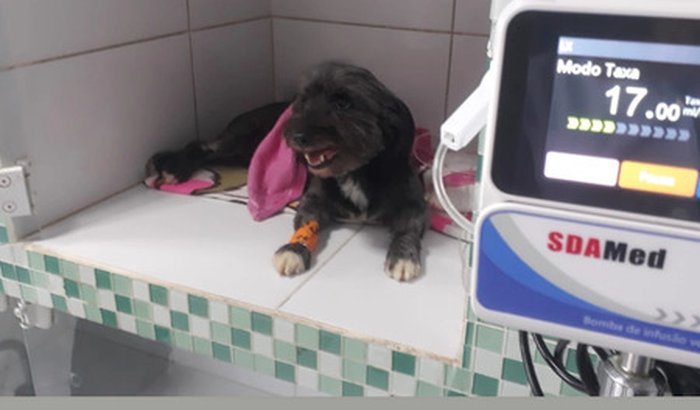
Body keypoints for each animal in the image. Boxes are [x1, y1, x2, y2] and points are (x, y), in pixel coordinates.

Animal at [148, 62, 426, 282]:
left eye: (343, 103)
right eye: (303, 100)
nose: (295, 136)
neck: (355, 171)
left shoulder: (413, 205)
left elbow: (408, 230)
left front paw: (403, 256)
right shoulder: (313, 200)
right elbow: (306, 225)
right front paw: (293, 251)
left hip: (242, 155)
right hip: (241, 143)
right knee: (201, 145)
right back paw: (174, 167)